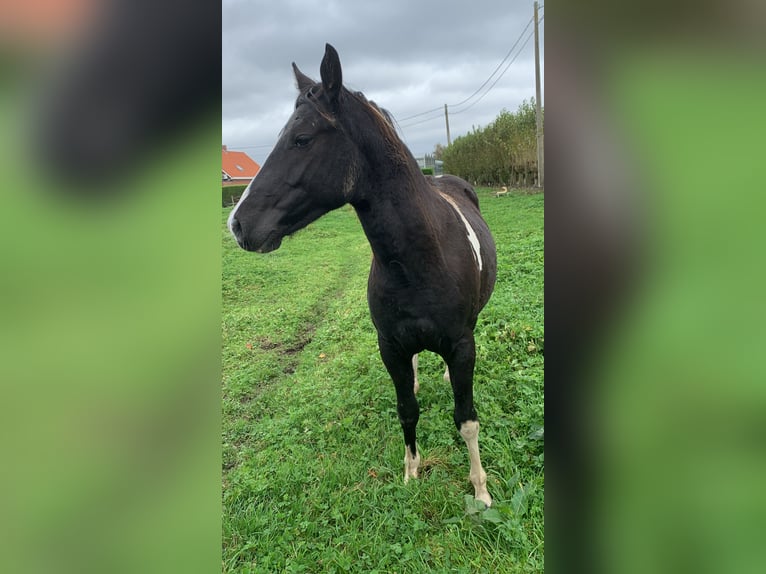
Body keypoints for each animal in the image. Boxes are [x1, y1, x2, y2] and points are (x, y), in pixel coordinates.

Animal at [228, 45, 500, 506]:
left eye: (302, 139)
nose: (238, 224)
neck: (420, 263)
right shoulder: (389, 346)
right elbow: (407, 410)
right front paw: (411, 472)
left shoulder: (462, 346)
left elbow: (466, 419)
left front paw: (480, 491)